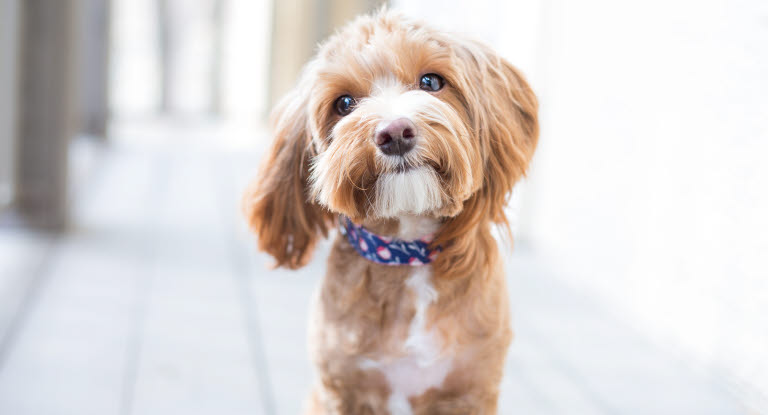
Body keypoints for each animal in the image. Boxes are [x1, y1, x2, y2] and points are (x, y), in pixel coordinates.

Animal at [243, 7, 536, 415]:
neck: (406, 252)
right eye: (344, 104)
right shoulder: (340, 389)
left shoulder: (471, 390)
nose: (395, 132)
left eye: (431, 81)